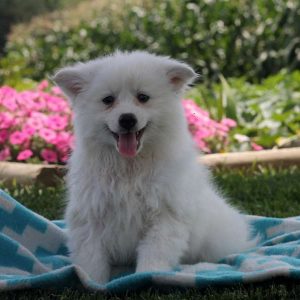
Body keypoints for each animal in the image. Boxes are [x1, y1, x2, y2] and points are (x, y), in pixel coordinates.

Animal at [53, 51, 253, 284]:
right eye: (108, 100)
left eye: (143, 97)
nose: (127, 119)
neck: (130, 165)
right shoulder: (89, 217)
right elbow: (91, 259)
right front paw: (92, 281)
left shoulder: (165, 216)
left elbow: (154, 254)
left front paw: (146, 276)